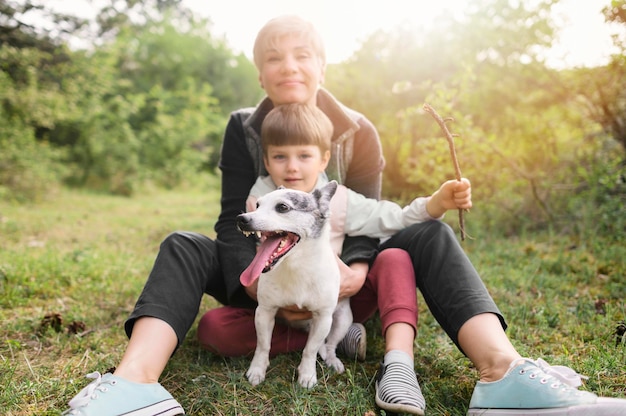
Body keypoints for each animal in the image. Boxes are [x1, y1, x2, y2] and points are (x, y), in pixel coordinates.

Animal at [236, 180, 352, 388]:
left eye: (282, 207)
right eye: (257, 205)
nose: (241, 218)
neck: (295, 266)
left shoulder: (323, 318)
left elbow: (310, 349)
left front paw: (307, 374)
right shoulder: (264, 312)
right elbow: (263, 345)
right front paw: (257, 370)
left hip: (342, 319)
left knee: (330, 345)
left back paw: (332, 360)